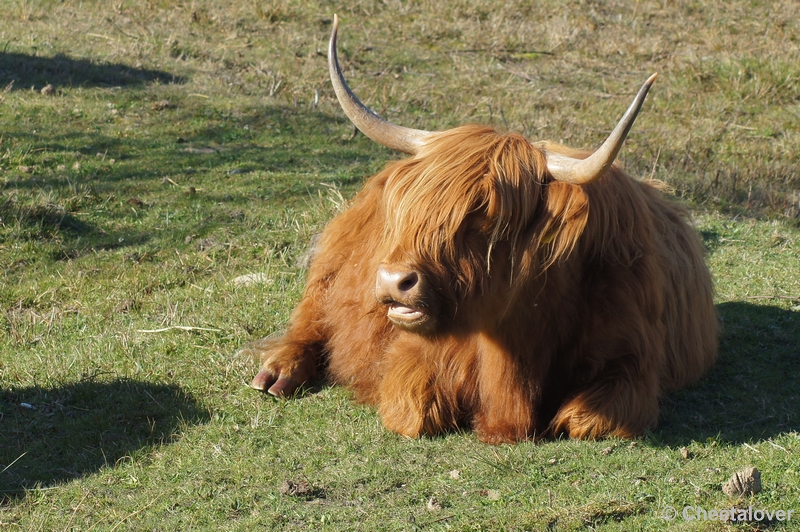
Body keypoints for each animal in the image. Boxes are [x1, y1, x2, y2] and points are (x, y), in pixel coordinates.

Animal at [245, 14, 720, 442]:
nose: (394, 281)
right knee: (310, 317)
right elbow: (411, 407)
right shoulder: (413, 356)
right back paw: (277, 373)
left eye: (483, 216)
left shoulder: (633, 362)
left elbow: (588, 419)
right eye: (410, 208)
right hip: (330, 268)